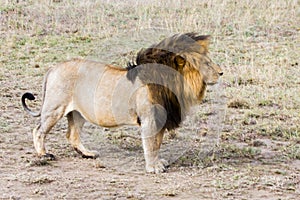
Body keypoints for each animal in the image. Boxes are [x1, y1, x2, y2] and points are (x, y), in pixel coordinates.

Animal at [21, 32, 223, 173]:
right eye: (207, 64)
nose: (221, 72)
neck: (175, 82)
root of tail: (53, 68)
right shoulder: (150, 118)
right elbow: (151, 144)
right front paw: (153, 167)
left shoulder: (160, 118)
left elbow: (157, 143)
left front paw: (159, 162)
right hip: (55, 108)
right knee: (38, 130)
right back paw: (44, 155)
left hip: (78, 113)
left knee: (72, 135)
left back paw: (88, 154)